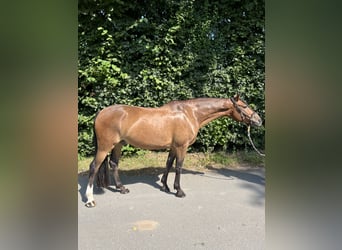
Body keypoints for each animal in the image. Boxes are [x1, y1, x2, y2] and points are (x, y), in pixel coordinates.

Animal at [85, 94, 262, 207]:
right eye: (244, 106)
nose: (258, 120)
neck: (190, 114)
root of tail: (101, 112)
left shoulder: (173, 147)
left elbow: (168, 164)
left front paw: (165, 186)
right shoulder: (181, 146)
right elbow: (178, 167)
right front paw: (179, 191)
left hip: (118, 145)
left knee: (114, 164)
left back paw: (122, 189)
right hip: (105, 146)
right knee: (94, 167)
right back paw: (90, 200)